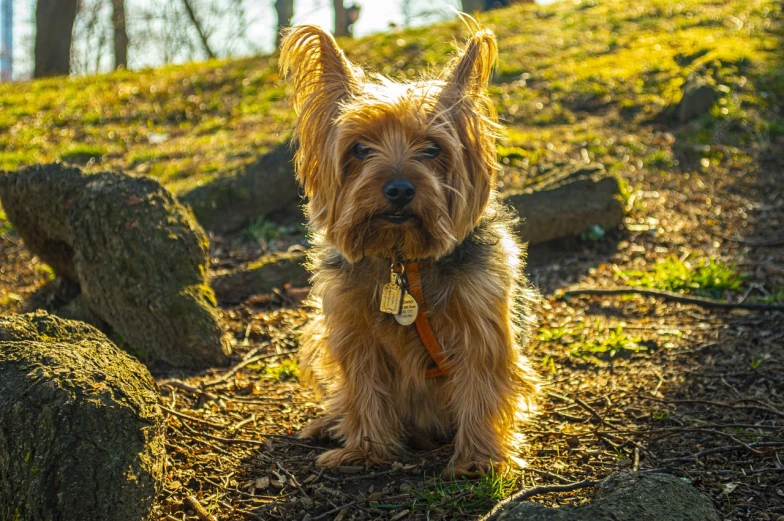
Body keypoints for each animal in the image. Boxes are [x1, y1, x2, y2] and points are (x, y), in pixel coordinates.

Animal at [280, 24, 540, 476]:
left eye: (433, 148)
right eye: (360, 149)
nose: (399, 189)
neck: (402, 259)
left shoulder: (479, 321)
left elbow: (481, 383)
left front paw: (477, 459)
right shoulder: (351, 325)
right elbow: (363, 383)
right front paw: (365, 449)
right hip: (316, 333)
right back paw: (329, 424)